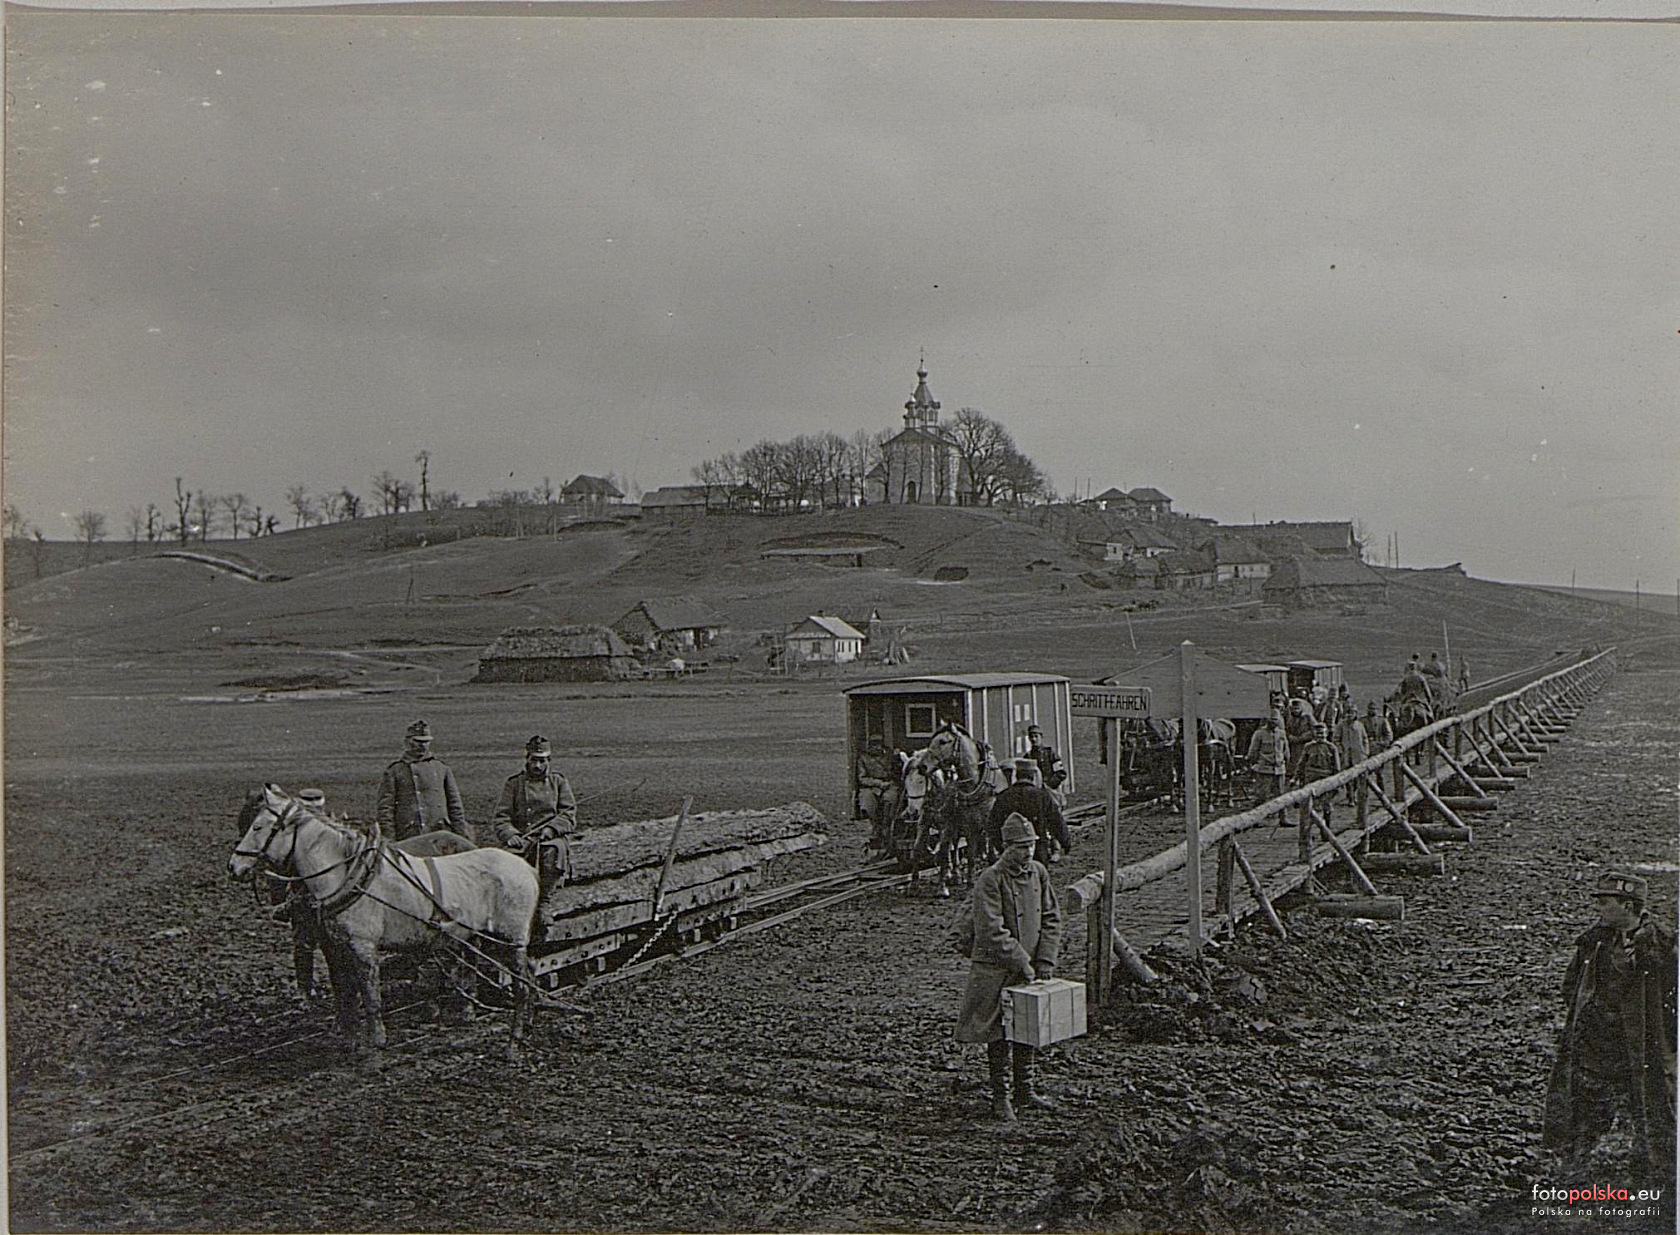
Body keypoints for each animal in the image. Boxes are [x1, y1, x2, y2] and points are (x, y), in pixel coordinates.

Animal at [230, 785, 541, 1056]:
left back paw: (513, 1042)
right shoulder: (337, 946)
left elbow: (370, 994)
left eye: (257, 827)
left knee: (521, 985)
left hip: (510, 940)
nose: (234, 866)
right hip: (476, 935)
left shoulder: (364, 947)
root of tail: (525, 867)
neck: (348, 875)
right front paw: (349, 1039)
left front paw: (376, 1042)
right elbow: (345, 991)